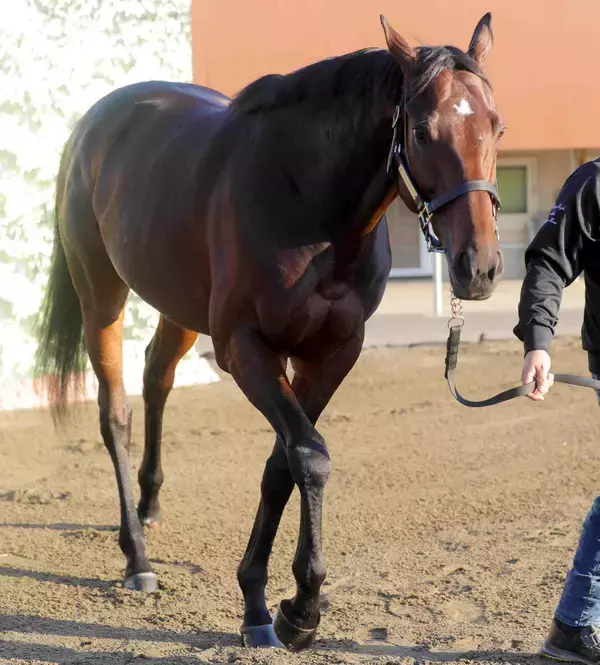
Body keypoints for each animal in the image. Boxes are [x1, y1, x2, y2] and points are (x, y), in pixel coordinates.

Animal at [34, 12, 504, 651]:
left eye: (496, 126)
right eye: (424, 131)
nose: (478, 266)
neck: (307, 203)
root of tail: (94, 123)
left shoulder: (332, 354)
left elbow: (283, 465)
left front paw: (268, 601)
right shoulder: (245, 349)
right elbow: (309, 455)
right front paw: (295, 607)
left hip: (178, 305)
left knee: (157, 378)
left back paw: (151, 500)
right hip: (100, 296)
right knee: (115, 414)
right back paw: (137, 556)